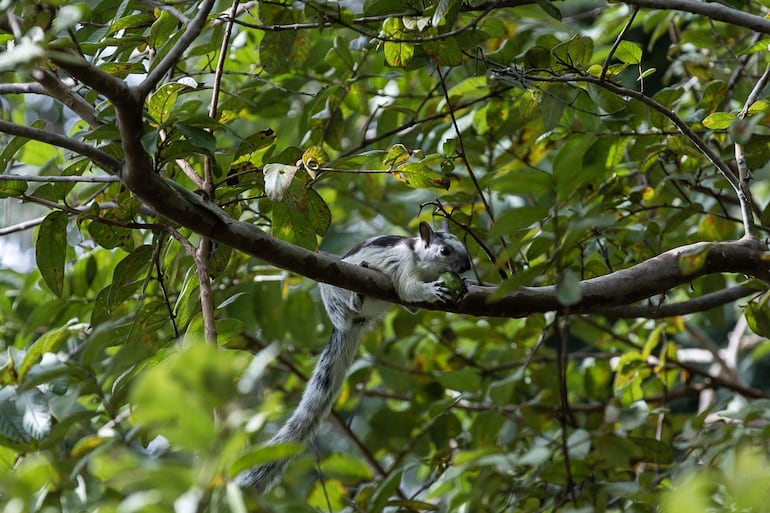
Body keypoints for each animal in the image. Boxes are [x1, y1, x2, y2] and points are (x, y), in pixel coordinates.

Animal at [236, 222, 471, 492]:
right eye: (444, 251)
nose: (467, 267)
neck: (424, 264)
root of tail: (349, 327)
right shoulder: (404, 266)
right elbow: (408, 289)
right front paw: (432, 289)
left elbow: (411, 302)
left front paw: (459, 284)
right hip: (333, 292)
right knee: (347, 306)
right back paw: (356, 298)